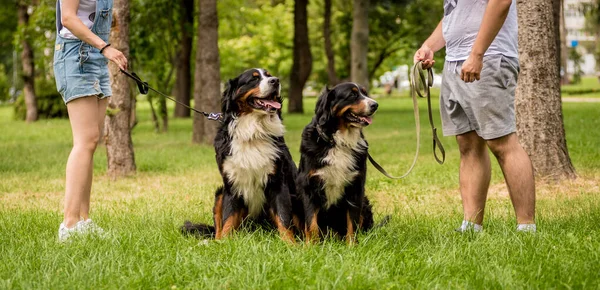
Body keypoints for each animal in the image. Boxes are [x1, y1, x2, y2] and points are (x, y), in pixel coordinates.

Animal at [180, 68, 302, 242]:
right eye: (253, 79)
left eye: (269, 75)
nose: (276, 80)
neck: (253, 133)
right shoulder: (232, 184)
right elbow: (228, 219)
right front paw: (224, 243)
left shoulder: (278, 182)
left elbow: (284, 217)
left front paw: (290, 244)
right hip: (220, 193)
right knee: (218, 226)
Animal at [296, 82, 378, 245]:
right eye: (352, 95)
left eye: (365, 93)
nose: (375, 105)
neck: (338, 142)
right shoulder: (309, 186)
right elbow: (311, 221)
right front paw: (311, 245)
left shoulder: (355, 186)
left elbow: (352, 221)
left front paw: (352, 245)